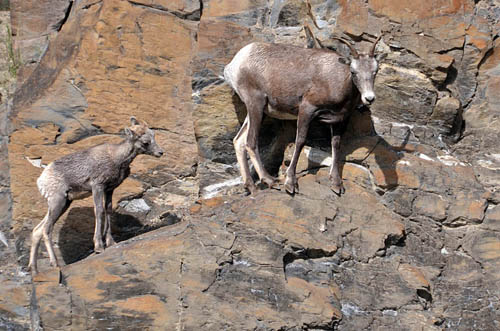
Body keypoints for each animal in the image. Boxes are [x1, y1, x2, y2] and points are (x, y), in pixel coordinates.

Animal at [28, 118, 164, 274]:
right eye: (146, 142)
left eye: (154, 136)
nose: (160, 152)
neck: (117, 159)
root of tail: (41, 179)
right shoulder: (97, 187)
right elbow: (99, 211)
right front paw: (99, 247)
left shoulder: (109, 190)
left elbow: (108, 211)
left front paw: (111, 242)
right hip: (58, 201)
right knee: (46, 229)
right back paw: (55, 264)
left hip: (64, 203)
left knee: (37, 230)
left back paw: (34, 270)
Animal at [225, 34, 384, 195]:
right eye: (353, 72)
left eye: (375, 71)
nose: (369, 98)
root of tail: (234, 64)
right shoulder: (307, 110)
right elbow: (300, 142)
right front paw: (290, 183)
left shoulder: (339, 120)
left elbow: (336, 145)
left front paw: (336, 184)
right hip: (256, 104)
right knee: (250, 142)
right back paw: (270, 181)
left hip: (260, 111)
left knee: (239, 141)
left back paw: (251, 186)